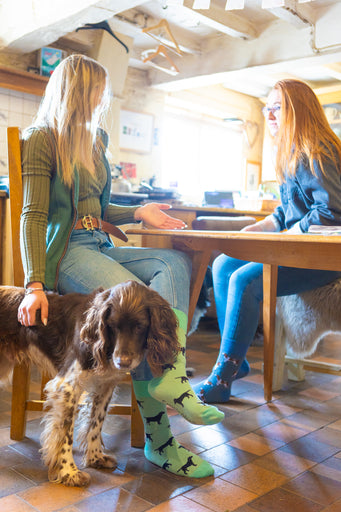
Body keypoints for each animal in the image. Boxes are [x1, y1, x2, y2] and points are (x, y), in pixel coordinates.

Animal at [0, 282, 179, 486]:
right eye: (112, 326)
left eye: (140, 326)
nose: (122, 362)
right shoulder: (67, 387)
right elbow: (66, 434)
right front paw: (69, 472)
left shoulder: (105, 385)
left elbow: (96, 423)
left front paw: (95, 458)